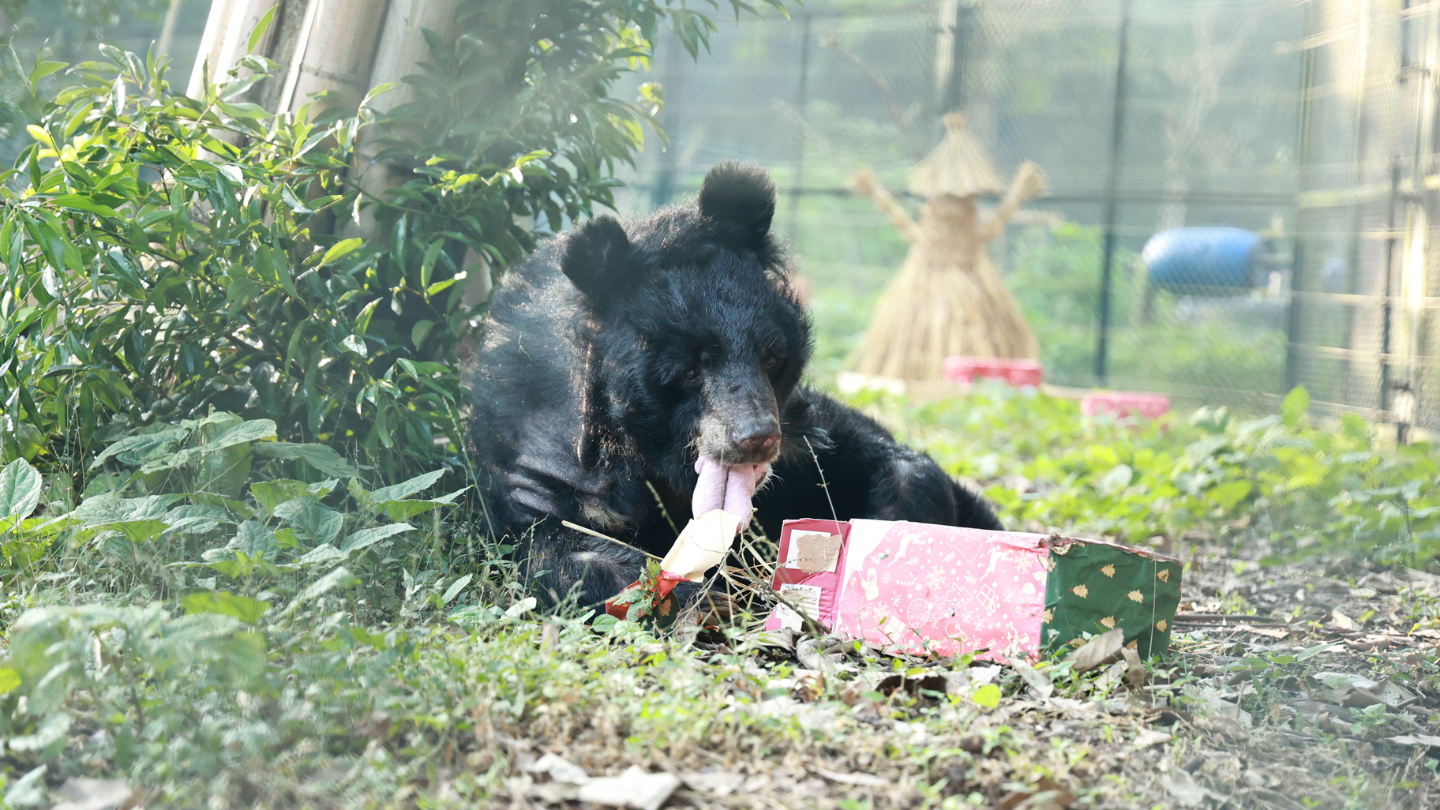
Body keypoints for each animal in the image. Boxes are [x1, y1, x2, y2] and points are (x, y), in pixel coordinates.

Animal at [467, 162, 1002, 610]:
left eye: (772, 357)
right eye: (688, 371)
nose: (756, 438)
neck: (653, 456)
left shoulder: (800, 436)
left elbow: (868, 455)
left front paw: (896, 525)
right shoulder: (545, 460)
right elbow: (565, 547)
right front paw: (695, 591)